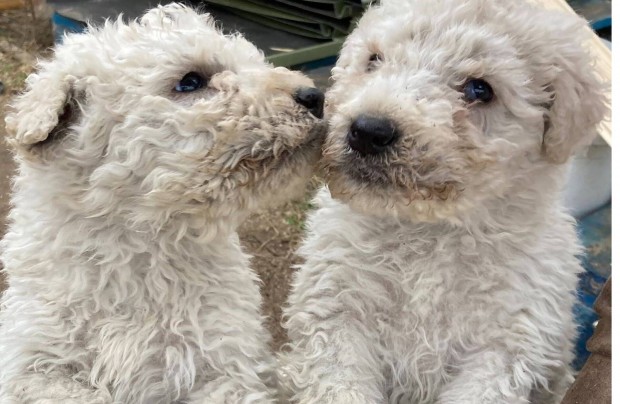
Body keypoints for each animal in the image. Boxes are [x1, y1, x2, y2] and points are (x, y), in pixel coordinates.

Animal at [284, 0, 608, 402]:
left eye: (480, 89)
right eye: (374, 59)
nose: (368, 130)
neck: (427, 235)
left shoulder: (503, 348)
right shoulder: (334, 315)